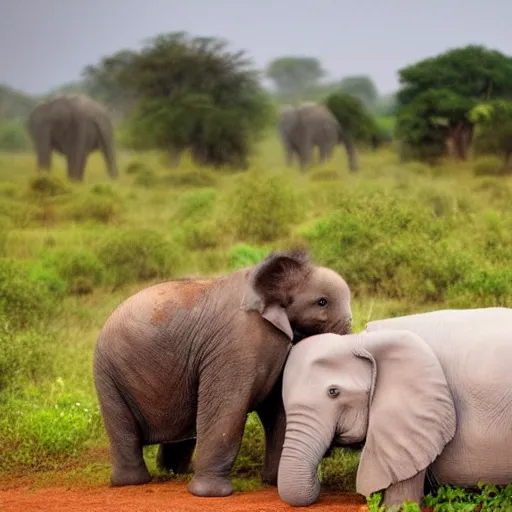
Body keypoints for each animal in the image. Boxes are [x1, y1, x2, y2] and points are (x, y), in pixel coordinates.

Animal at [93, 250, 352, 498]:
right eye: (322, 302)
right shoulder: (237, 343)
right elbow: (228, 409)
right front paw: (210, 495)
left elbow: (280, 409)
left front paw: (277, 483)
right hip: (109, 374)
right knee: (123, 428)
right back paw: (133, 481)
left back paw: (175, 473)